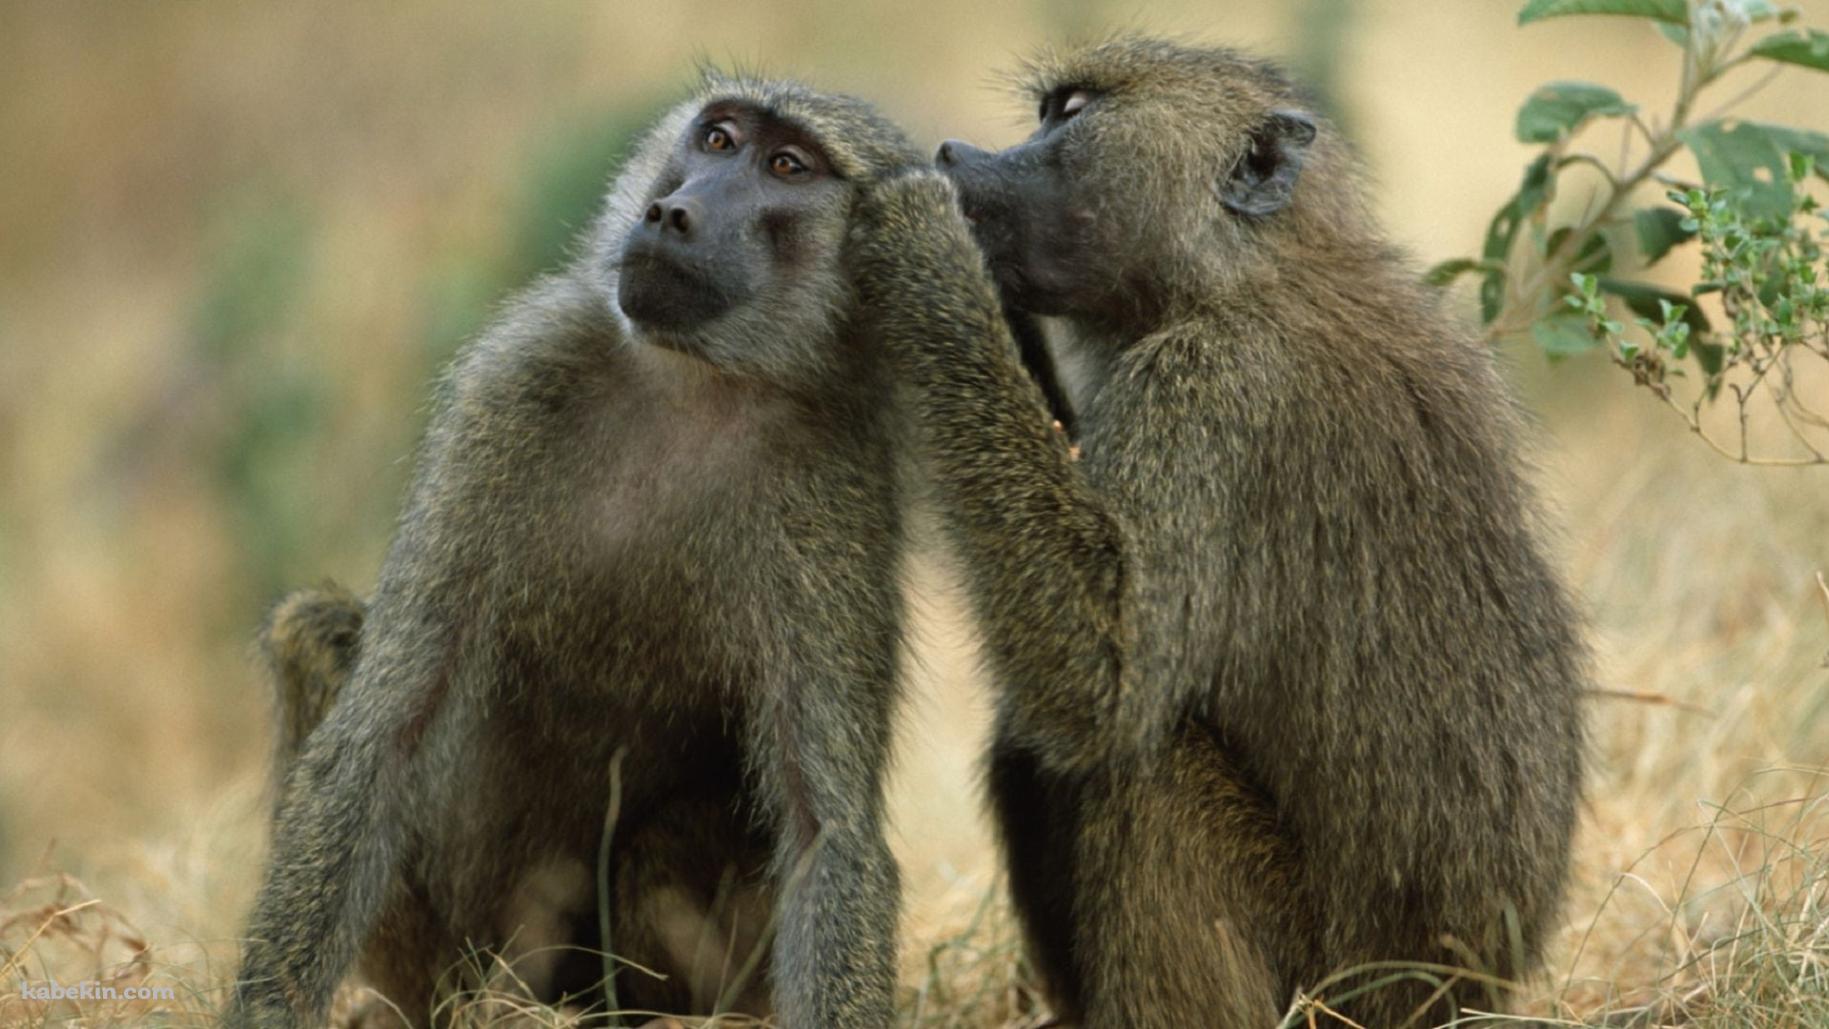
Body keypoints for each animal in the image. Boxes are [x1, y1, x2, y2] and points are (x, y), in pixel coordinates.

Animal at [223, 75, 926, 1029]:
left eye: (787, 165)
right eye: (716, 139)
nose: (671, 212)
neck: (694, 384)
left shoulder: (838, 488)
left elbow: (828, 831)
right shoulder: (512, 383)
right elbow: (379, 735)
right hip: (453, 955)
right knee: (312, 629)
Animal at [848, 36, 1589, 1027]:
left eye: (1070, 114)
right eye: (1045, 112)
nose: (955, 154)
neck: (1241, 272)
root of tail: (1459, 993)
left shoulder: (1212, 391)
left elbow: (1105, 680)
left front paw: (926, 244)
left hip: (1322, 981)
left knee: (1141, 768)